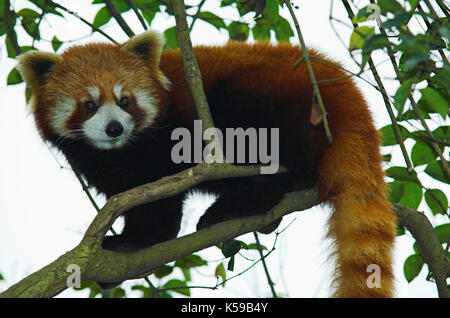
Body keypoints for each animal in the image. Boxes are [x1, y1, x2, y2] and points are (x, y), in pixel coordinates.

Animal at [17, 31, 396, 296]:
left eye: (125, 101)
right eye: (89, 105)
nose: (114, 128)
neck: (119, 151)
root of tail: (343, 86)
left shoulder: (166, 143)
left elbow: (159, 206)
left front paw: (133, 242)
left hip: (262, 98)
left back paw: (235, 206)